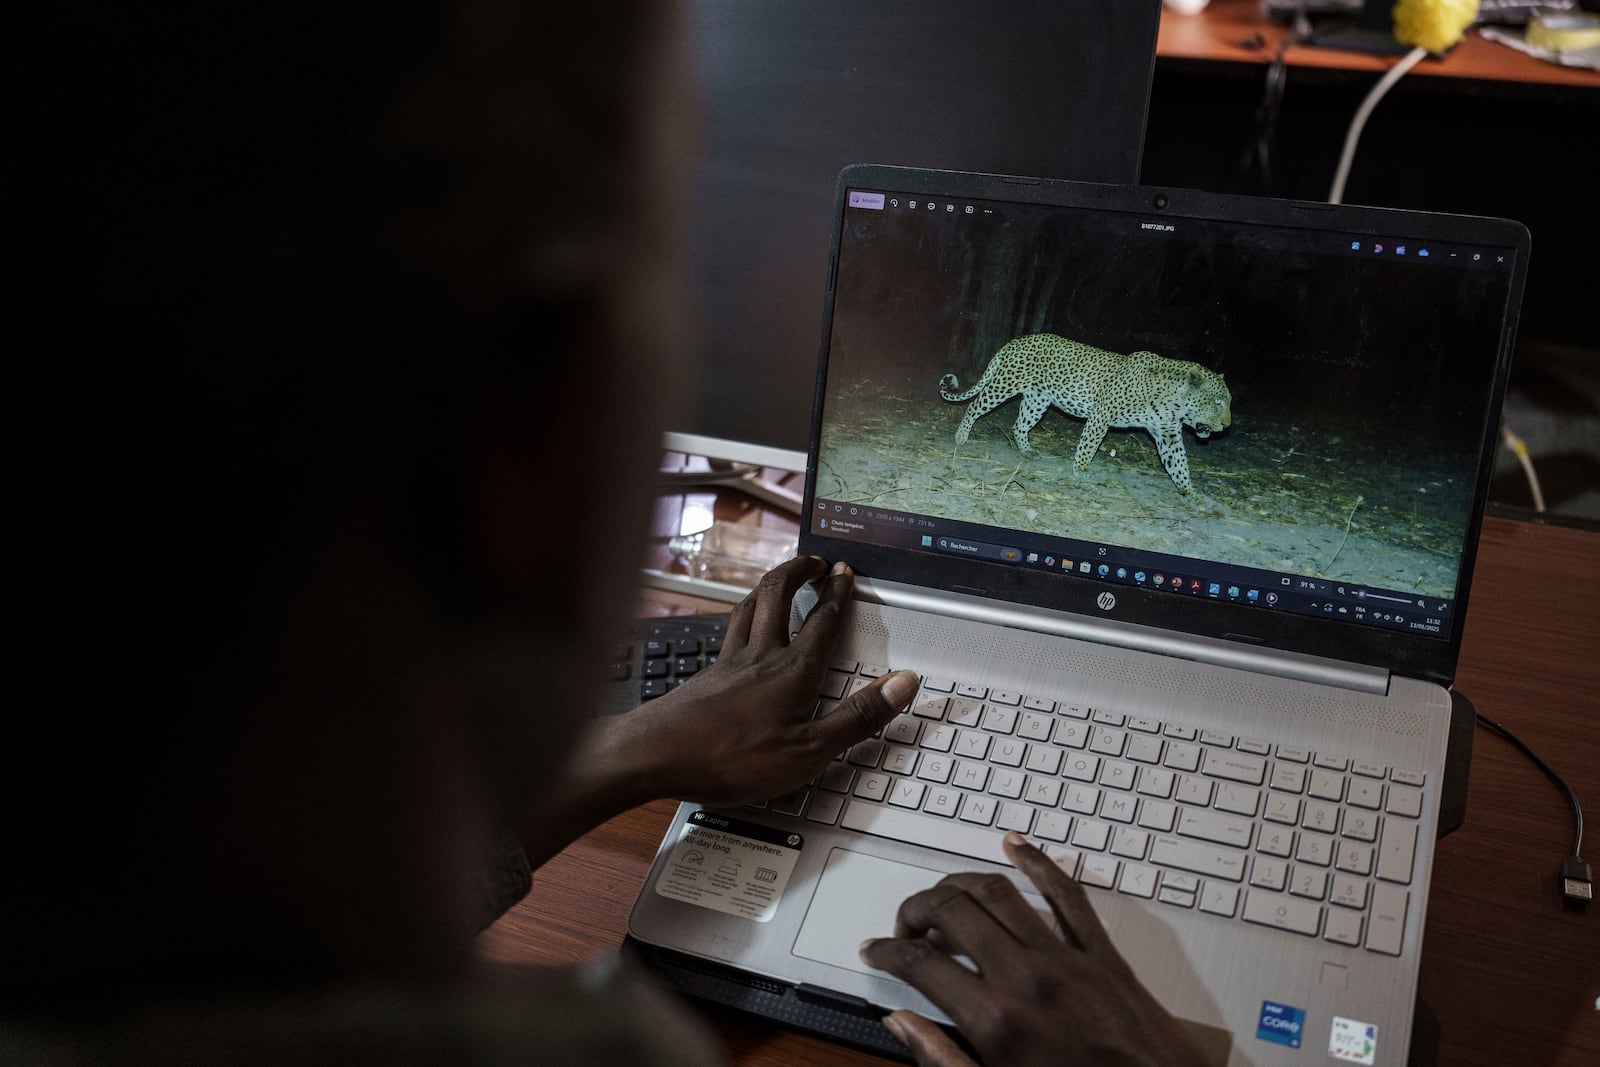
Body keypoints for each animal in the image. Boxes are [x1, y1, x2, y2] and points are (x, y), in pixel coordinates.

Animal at [940, 334, 1228, 502]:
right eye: (1218, 401)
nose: (1227, 426)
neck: (1173, 402)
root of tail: (1020, 339)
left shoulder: (1167, 433)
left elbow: (1178, 463)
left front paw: (1190, 492)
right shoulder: (1102, 414)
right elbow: (1090, 443)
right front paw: (1081, 469)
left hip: (1038, 399)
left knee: (1019, 424)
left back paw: (1027, 451)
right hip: (1006, 383)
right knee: (975, 405)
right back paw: (960, 438)